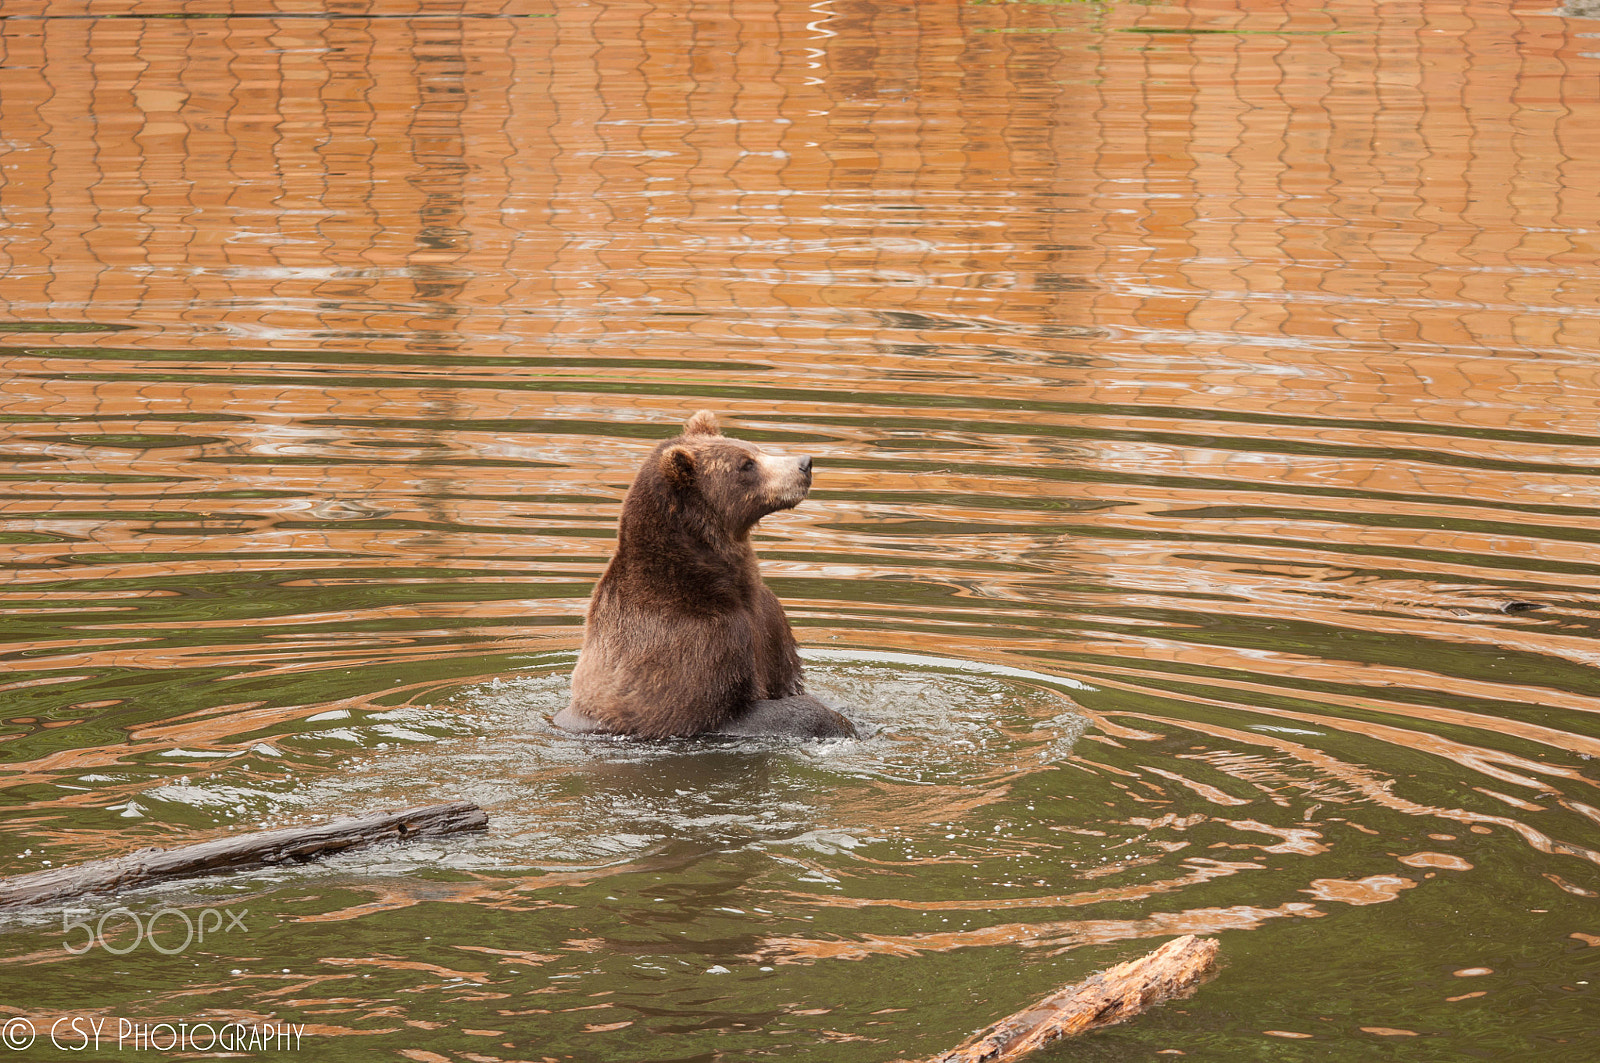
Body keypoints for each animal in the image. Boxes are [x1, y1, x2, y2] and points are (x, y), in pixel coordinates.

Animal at [554, 411, 856, 740]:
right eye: (746, 464)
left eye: (754, 448)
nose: (804, 463)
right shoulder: (698, 640)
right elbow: (725, 710)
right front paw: (840, 722)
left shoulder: (768, 622)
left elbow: (785, 672)